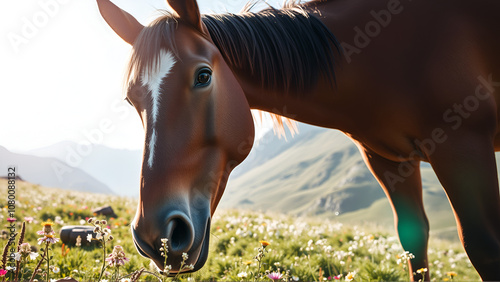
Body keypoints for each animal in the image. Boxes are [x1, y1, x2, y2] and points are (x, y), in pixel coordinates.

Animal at [95, 0, 500, 280]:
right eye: (131, 99)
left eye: (203, 76)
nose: (156, 236)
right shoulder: (387, 159)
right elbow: (414, 244)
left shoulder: (463, 144)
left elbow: (484, 248)